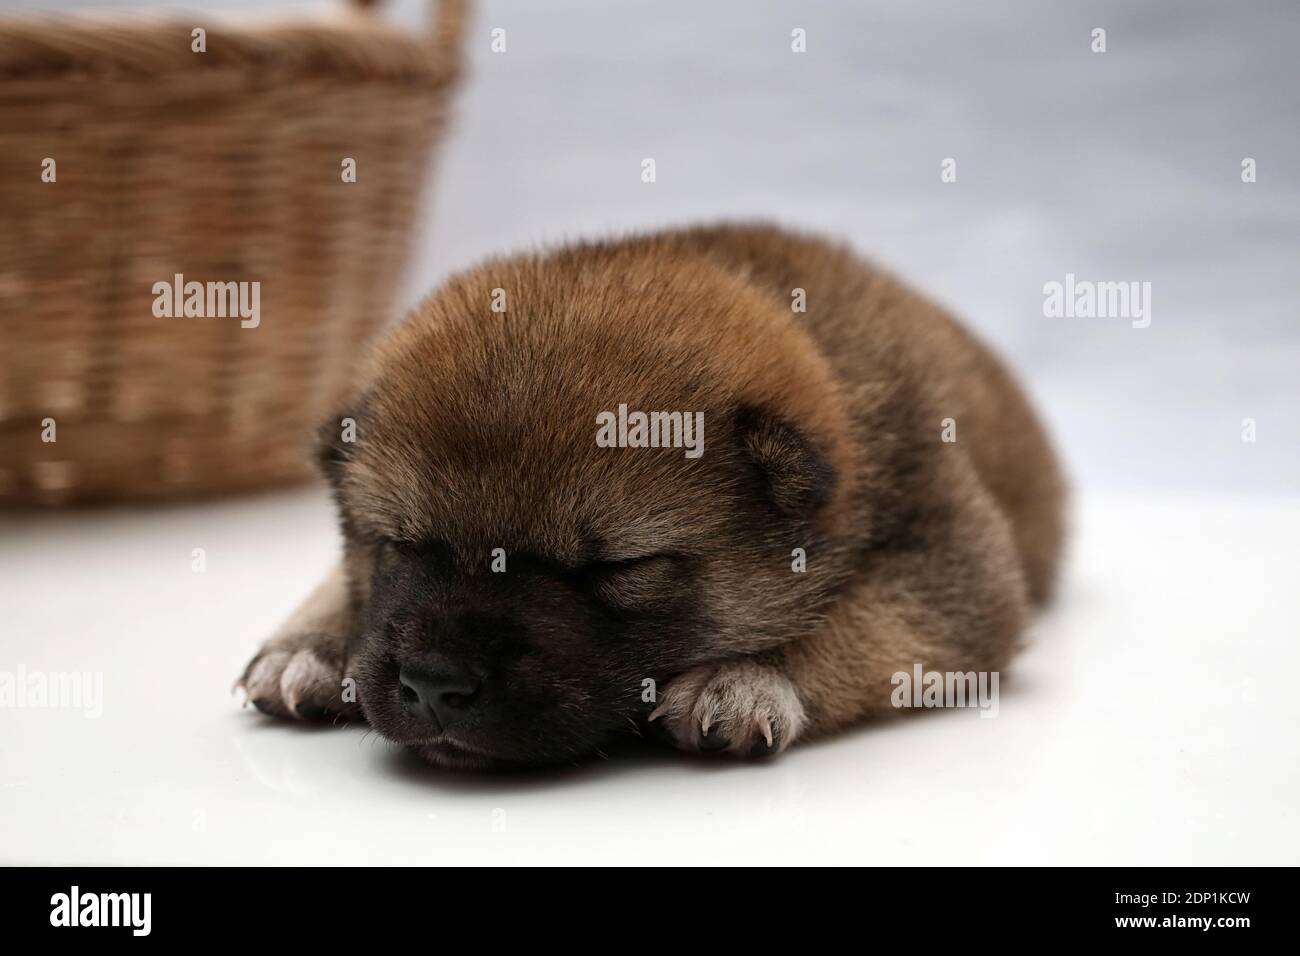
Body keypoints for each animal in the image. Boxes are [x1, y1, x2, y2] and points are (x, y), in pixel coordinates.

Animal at [236, 223, 1066, 770]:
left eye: (618, 569)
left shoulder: (952, 560)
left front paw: (747, 676)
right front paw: (310, 643)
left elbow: (864, 622)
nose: (434, 683)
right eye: (401, 545)